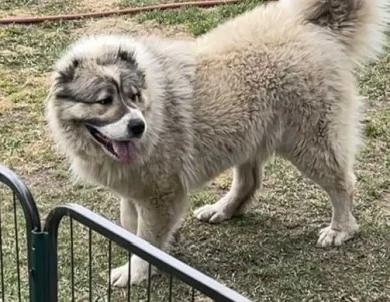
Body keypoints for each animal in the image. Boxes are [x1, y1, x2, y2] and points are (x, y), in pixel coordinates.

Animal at [46, 0, 390, 288]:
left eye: (134, 96)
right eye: (104, 101)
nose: (137, 126)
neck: (155, 105)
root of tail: (310, 25)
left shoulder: (159, 195)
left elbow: (145, 241)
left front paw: (138, 271)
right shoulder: (134, 191)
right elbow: (129, 227)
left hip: (310, 146)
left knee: (343, 183)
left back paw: (340, 229)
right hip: (245, 136)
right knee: (249, 181)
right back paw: (223, 209)